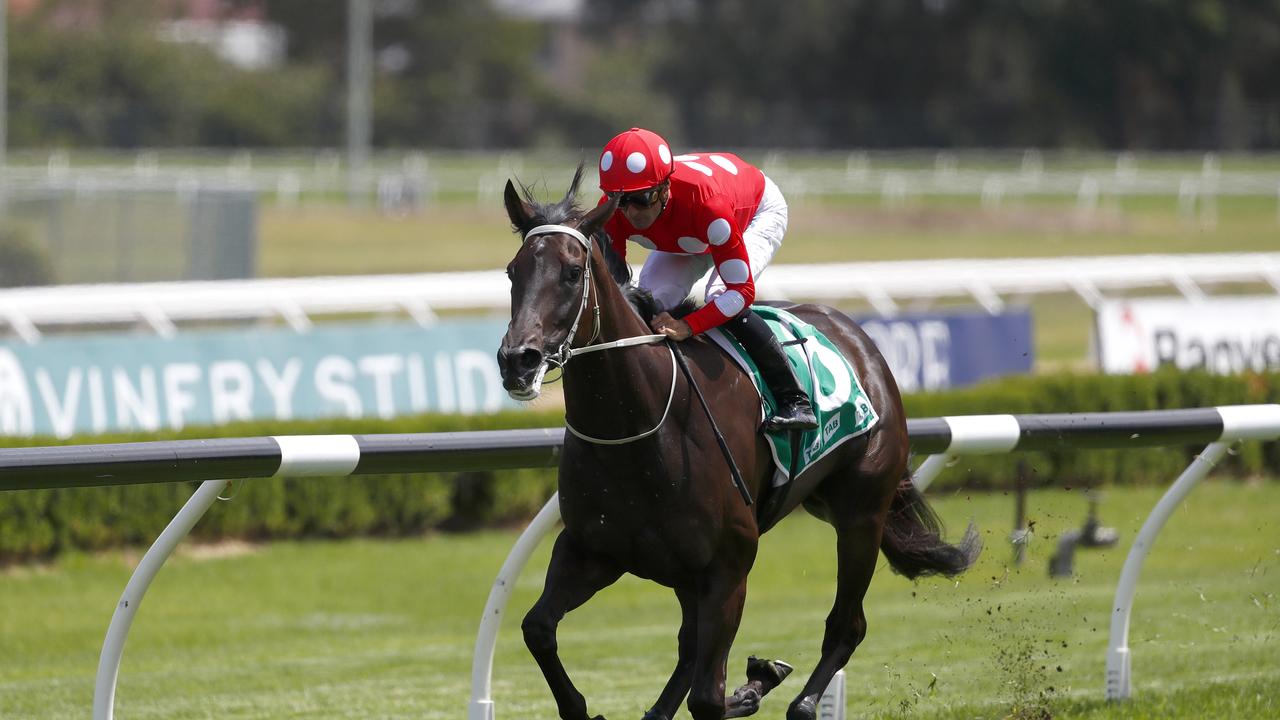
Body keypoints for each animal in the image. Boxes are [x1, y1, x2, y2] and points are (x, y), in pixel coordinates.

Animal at [496, 167, 977, 717]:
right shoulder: (592, 551)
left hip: (861, 513)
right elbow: (538, 628)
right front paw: (582, 705)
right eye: (513, 271)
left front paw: (754, 681)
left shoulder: (729, 565)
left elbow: (707, 696)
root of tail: (860, 339)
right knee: (688, 650)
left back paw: (797, 700)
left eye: (573, 273)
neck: (640, 433)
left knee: (846, 625)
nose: (518, 361)